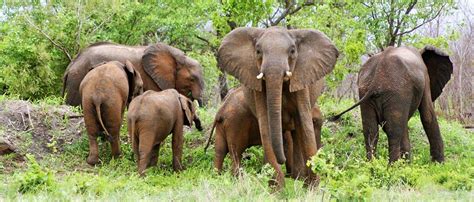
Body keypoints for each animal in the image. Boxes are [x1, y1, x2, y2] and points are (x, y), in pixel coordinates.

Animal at [217, 26, 338, 188]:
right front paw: (277, 190)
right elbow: (265, 124)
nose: (282, 160)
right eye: (258, 51)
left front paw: (313, 189)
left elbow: (304, 123)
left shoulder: (301, 79)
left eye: (292, 51)